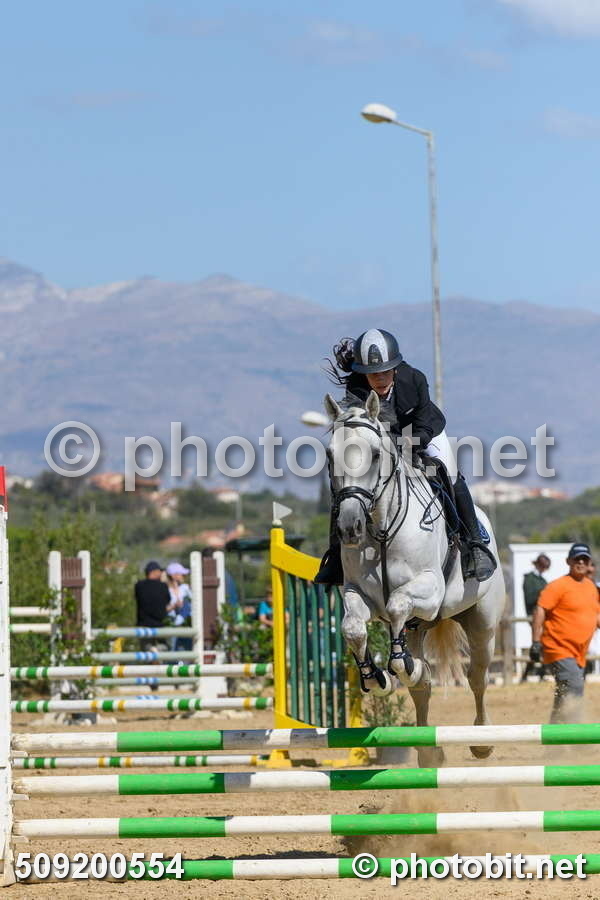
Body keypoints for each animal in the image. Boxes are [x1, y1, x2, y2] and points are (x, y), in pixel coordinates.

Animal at [324, 390, 506, 766]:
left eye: (375, 454)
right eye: (330, 455)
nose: (349, 528)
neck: (380, 527)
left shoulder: (429, 590)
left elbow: (397, 603)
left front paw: (402, 666)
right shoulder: (358, 594)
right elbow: (353, 627)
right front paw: (376, 677)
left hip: (481, 623)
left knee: (477, 676)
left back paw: (482, 740)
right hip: (419, 626)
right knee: (422, 688)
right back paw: (428, 750)